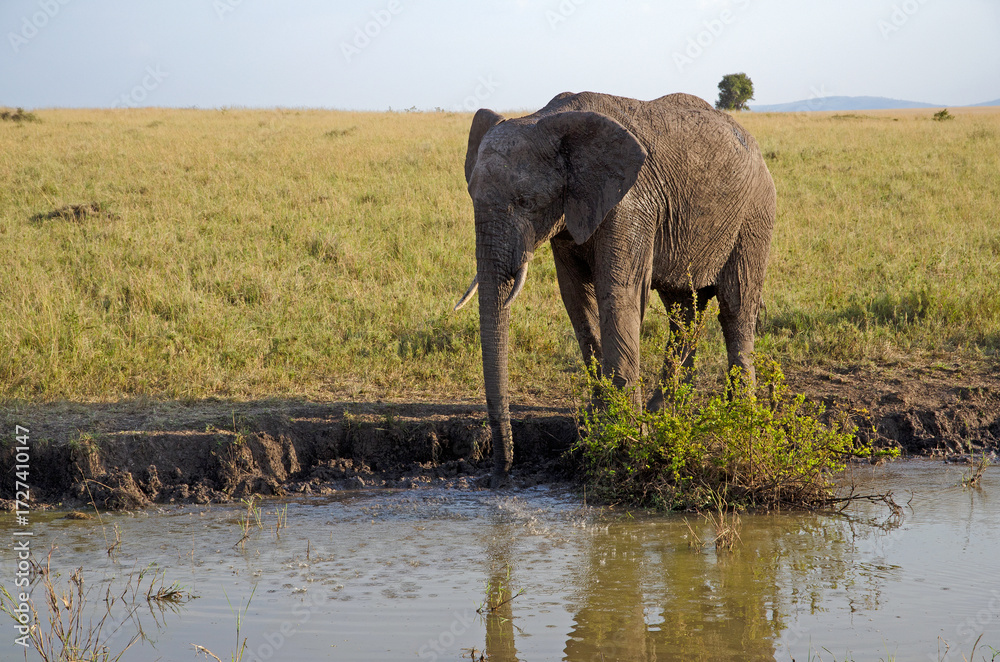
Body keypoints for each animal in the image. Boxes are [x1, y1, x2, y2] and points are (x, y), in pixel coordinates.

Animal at [454, 91, 776, 484]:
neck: (549, 120)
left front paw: (625, 438)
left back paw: (738, 417)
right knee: (683, 311)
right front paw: (601, 423)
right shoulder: (572, 213)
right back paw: (663, 414)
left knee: (736, 306)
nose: (500, 474)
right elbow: (577, 299)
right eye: (471, 195)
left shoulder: (630, 204)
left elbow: (619, 291)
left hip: (755, 214)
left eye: (526, 202)